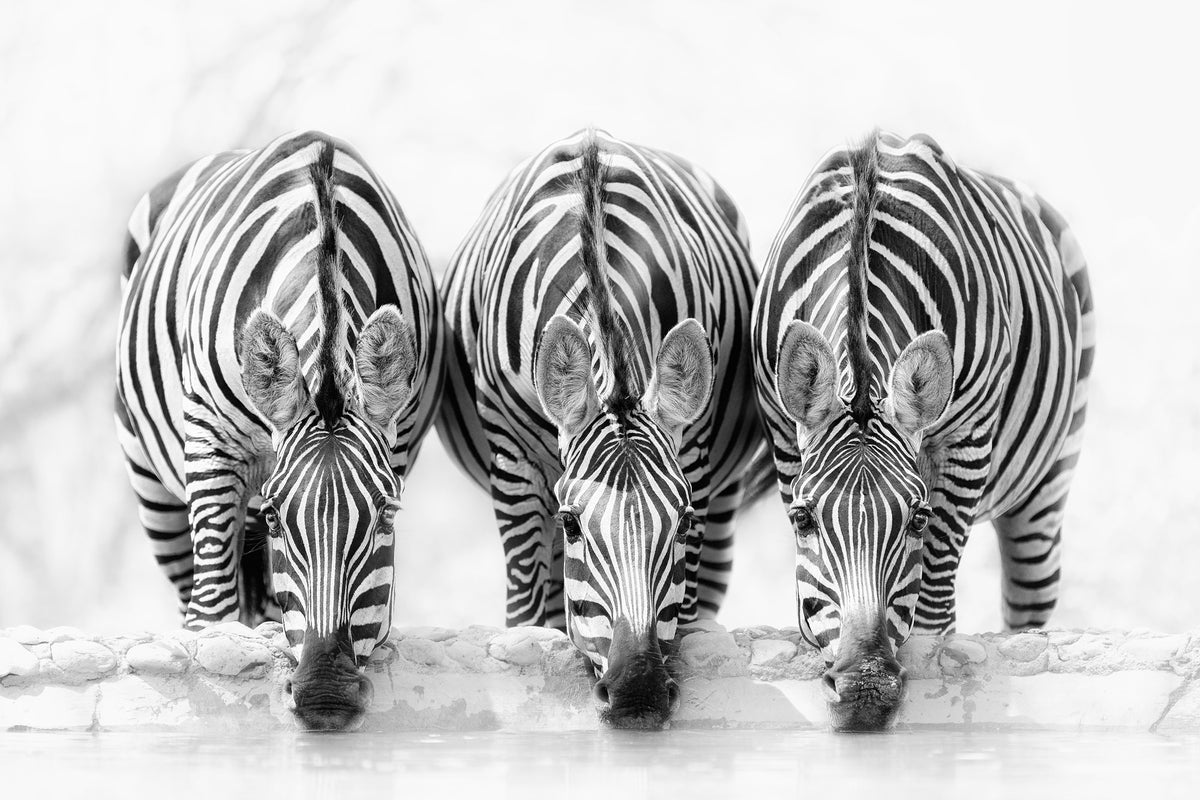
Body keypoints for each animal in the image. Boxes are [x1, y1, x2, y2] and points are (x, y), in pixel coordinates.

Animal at [115, 130, 443, 730]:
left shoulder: (400, 440)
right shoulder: (211, 442)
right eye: (275, 517)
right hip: (152, 484)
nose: (325, 696)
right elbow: (211, 614)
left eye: (387, 515)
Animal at [437, 129, 771, 728]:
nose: (637, 693)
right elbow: (526, 610)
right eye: (573, 524)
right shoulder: (512, 462)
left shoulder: (696, 458)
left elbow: (684, 609)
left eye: (682, 522)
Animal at [752, 130, 1094, 731]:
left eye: (916, 518)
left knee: (1027, 600)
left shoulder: (968, 441)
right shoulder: (782, 431)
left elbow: (933, 596)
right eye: (802, 518)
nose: (864, 690)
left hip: (1049, 480)